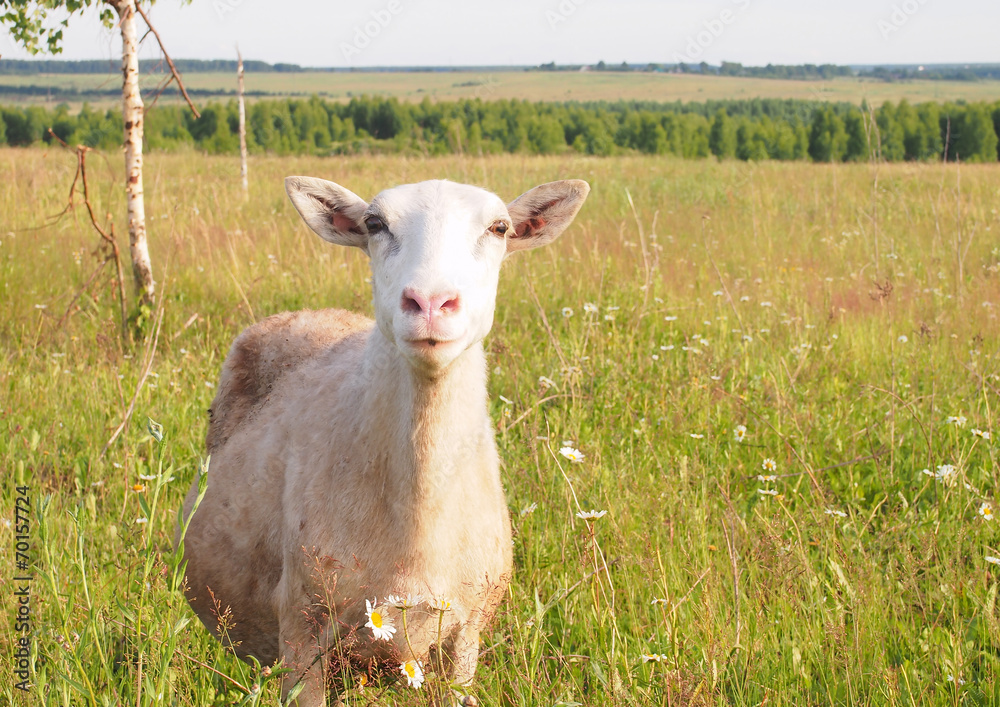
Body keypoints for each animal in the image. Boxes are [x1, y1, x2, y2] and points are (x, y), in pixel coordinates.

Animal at [179, 175, 590, 705]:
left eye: (499, 228)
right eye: (374, 224)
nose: (431, 304)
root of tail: (315, 312)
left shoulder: (465, 637)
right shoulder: (301, 629)